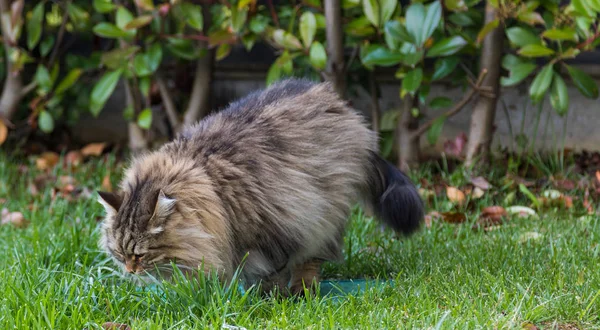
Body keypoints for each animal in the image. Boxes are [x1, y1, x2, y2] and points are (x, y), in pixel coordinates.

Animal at [98, 78, 424, 296]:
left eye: (139, 255)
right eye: (119, 254)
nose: (129, 271)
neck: (210, 186)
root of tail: (338, 104)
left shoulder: (276, 229)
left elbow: (273, 272)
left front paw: (270, 298)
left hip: (323, 212)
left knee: (312, 257)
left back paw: (302, 288)